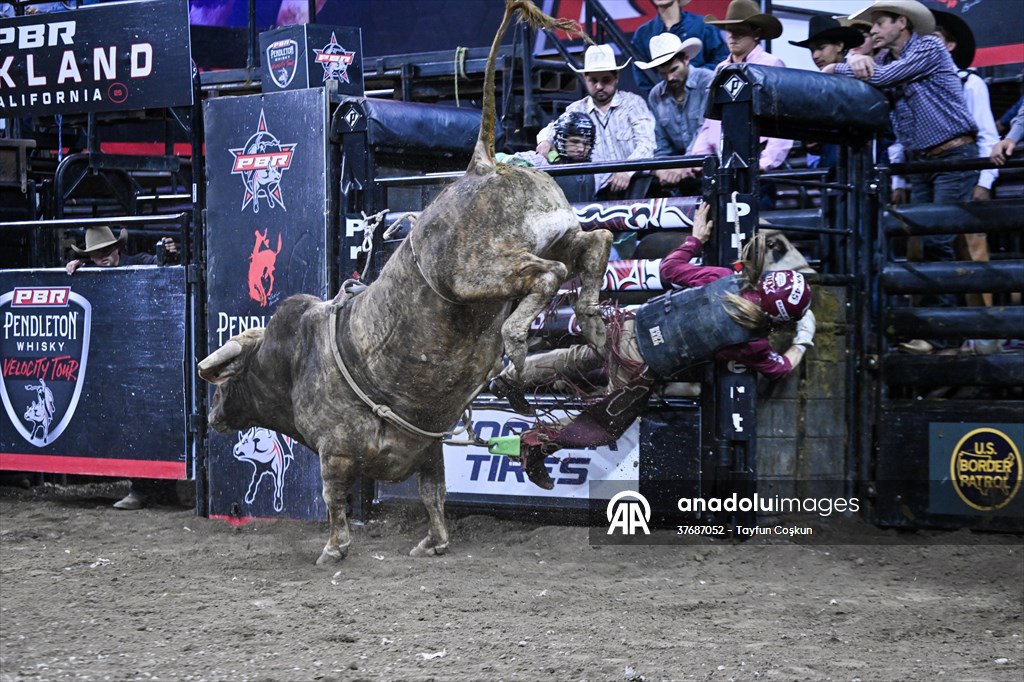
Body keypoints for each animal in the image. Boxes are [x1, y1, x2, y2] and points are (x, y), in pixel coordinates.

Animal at [198, 0, 612, 565]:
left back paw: (516, 349)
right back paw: (590, 322)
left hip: (476, 271)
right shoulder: (429, 447)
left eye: (227, 380)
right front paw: (434, 542)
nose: (213, 417)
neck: (292, 358)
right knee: (595, 243)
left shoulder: (334, 451)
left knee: (548, 275)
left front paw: (334, 548)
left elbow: (334, 497)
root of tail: (483, 163)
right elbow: (433, 492)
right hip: (557, 233)